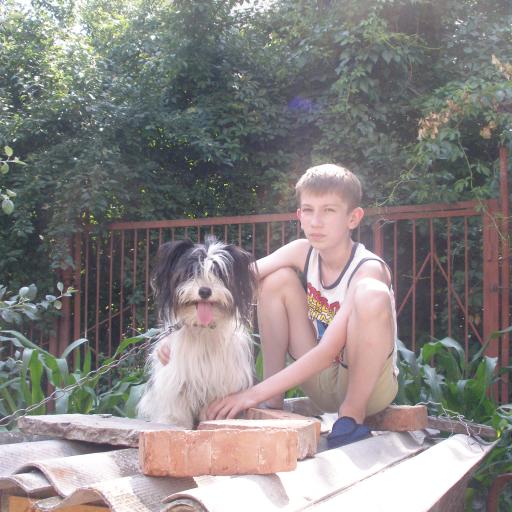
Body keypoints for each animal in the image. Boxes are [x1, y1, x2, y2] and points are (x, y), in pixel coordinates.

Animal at [137, 237, 257, 429]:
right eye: (190, 272)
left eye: (219, 273)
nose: (205, 291)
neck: (202, 329)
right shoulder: (176, 380)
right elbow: (176, 410)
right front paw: (175, 426)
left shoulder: (220, 383)